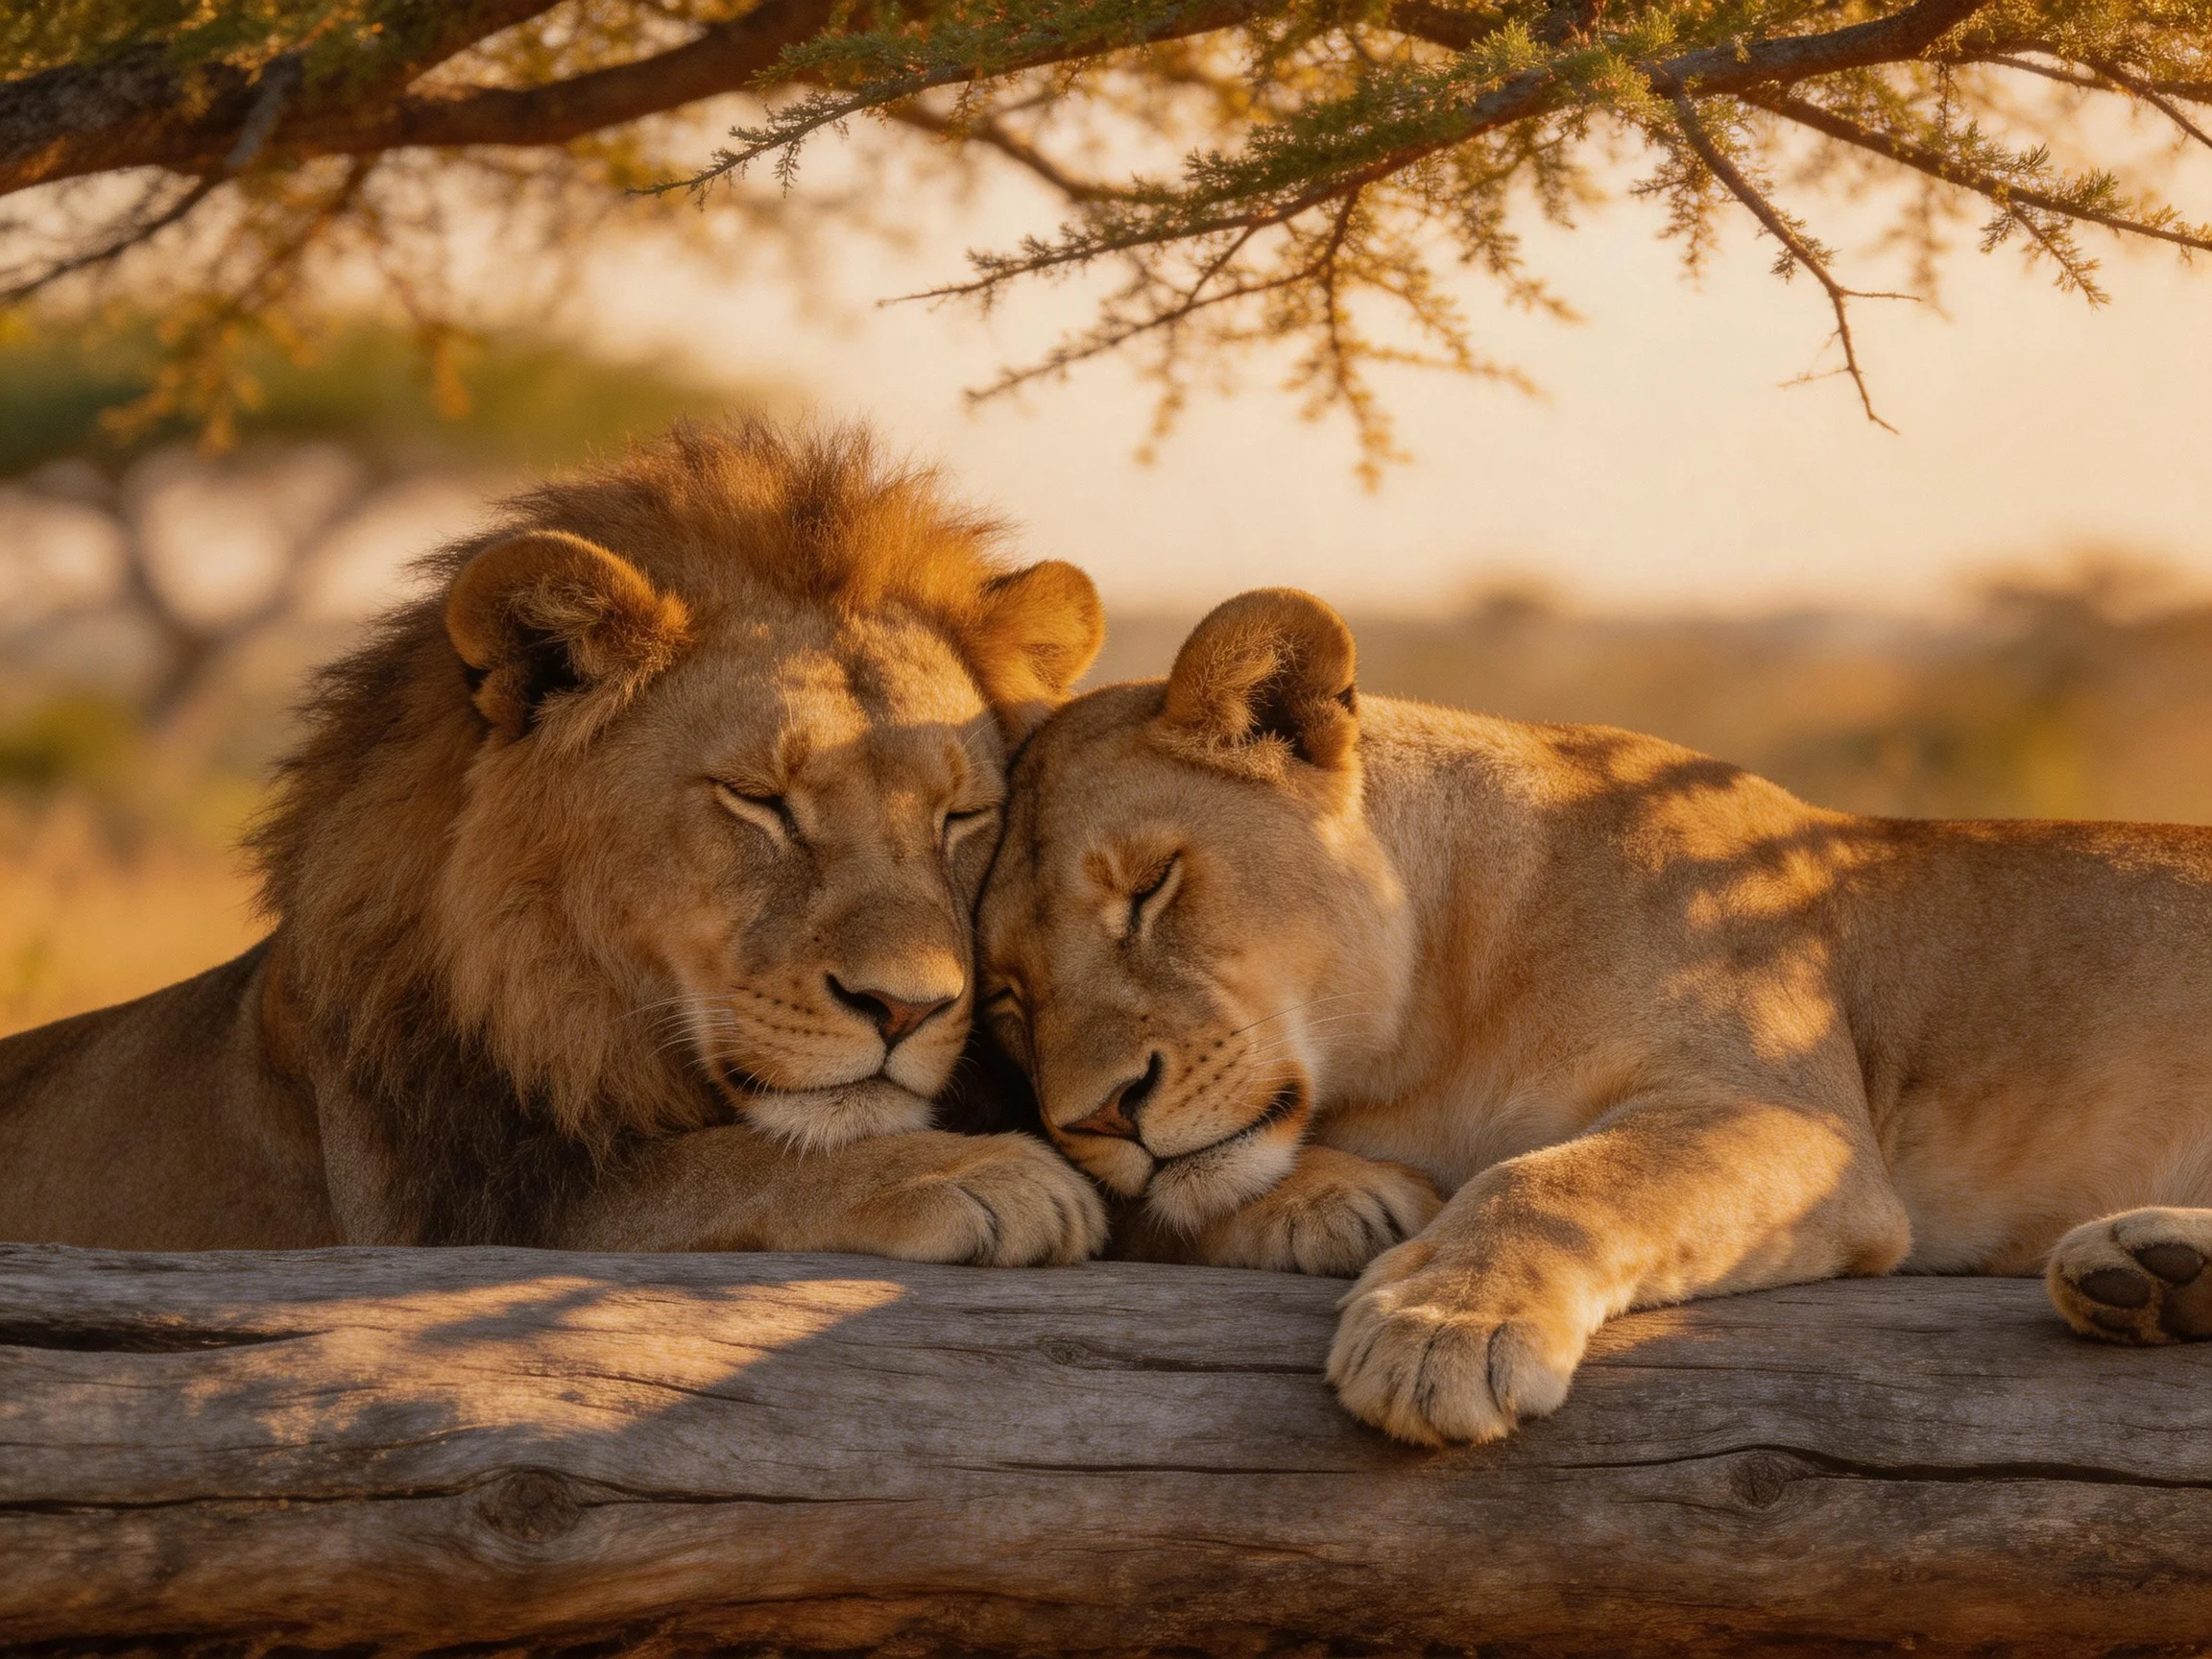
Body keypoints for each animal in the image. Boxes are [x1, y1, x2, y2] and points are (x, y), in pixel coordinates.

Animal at [0, 419, 1109, 1264]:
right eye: (758, 800)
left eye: (961, 816)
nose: (906, 1009)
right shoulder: (452, 1216)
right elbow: (713, 1170)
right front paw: (984, 1173)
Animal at [977, 587, 2212, 1445]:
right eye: (1008, 994)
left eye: (1150, 887)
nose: (1100, 1117)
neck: (1436, 1023)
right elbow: (1161, 1201)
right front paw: (1339, 1204)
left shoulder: (1797, 1122)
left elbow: (1553, 1179)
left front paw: (1443, 1330)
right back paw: (2147, 1274)